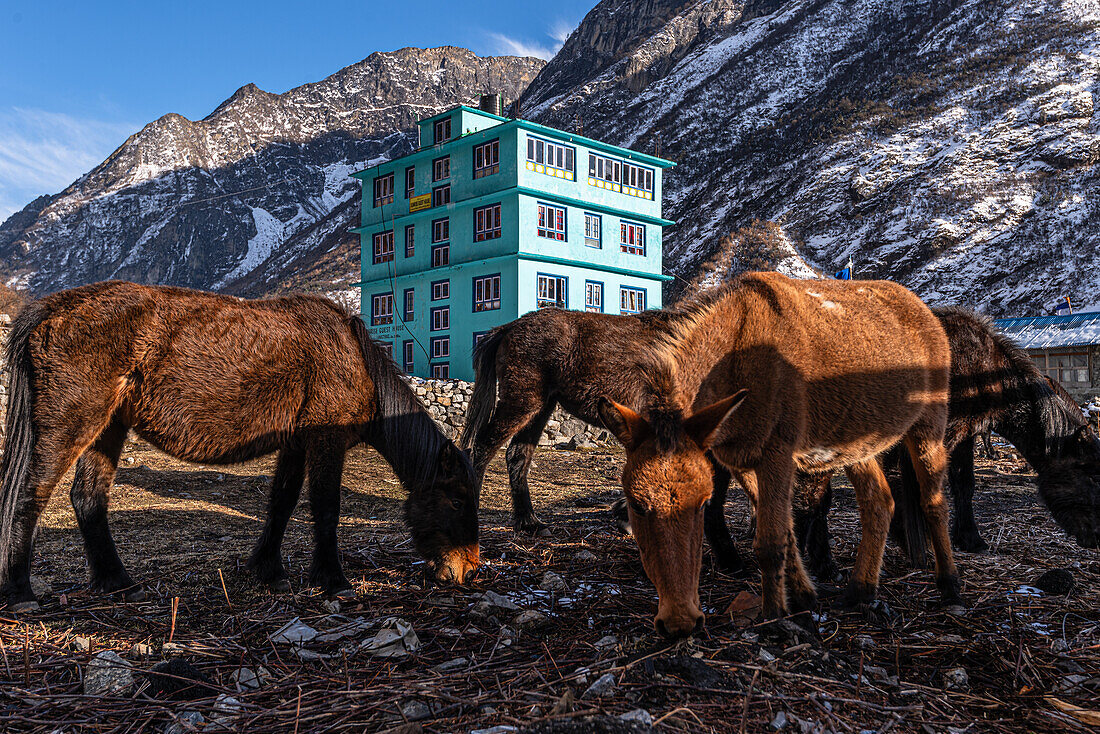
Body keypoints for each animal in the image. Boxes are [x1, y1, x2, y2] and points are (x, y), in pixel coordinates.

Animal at [1, 281, 481, 616]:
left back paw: (118, 581)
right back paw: (22, 591)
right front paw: (333, 579)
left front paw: (267, 569)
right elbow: (326, 507)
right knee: (31, 497)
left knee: (88, 498)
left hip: (108, 428)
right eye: (457, 501)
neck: (352, 356)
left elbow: (282, 503)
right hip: (71, 423)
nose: (468, 570)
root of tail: (54, 306)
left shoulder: (296, 444)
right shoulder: (326, 443)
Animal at [602, 272, 963, 638]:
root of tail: (923, 310)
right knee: (879, 503)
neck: (734, 358)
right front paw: (803, 596)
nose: (680, 622)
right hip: (856, 446)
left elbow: (770, 541)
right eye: (635, 505)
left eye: (704, 503)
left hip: (928, 428)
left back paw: (949, 583)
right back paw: (861, 589)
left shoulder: (777, 455)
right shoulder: (743, 462)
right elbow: (785, 532)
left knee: (934, 503)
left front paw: (775, 616)